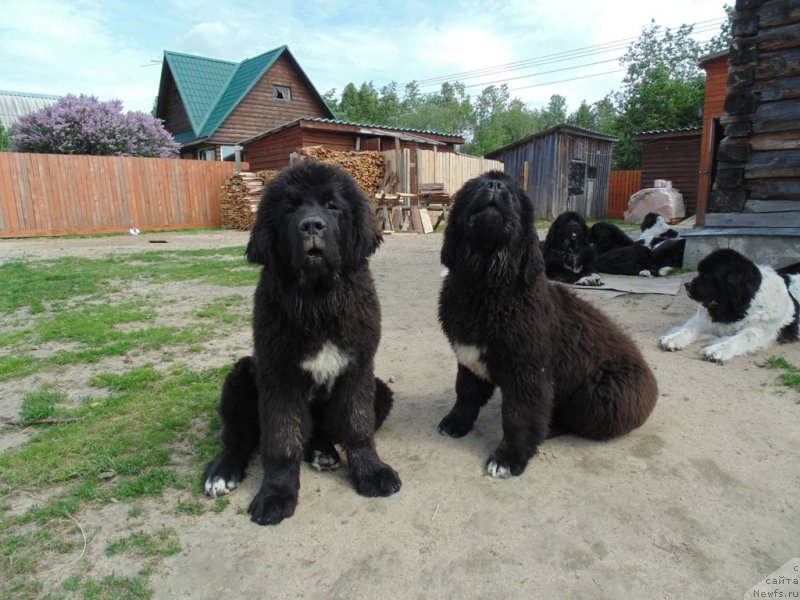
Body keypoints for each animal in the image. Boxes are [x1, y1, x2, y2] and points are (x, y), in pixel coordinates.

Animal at [202, 159, 398, 524]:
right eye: (290, 209)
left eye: (333, 206)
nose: (311, 226)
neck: (318, 302)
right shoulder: (279, 376)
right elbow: (282, 439)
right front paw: (276, 494)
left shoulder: (358, 369)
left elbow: (357, 425)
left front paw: (371, 472)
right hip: (241, 376)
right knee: (238, 436)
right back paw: (221, 473)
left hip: (381, 390)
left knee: (319, 431)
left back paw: (322, 450)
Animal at [438, 172, 656, 478]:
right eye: (475, 187)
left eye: (514, 195)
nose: (494, 185)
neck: (487, 285)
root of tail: (651, 380)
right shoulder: (468, 357)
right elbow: (466, 394)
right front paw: (455, 423)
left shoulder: (529, 372)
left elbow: (518, 416)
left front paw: (509, 458)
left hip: (601, 394)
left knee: (578, 418)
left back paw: (550, 428)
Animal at [660, 247, 796, 364]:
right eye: (699, 272)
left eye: (708, 275)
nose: (687, 285)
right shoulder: (704, 321)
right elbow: (688, 329)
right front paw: (672, 339)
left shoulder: (757, 331)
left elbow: (739, 339)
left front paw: (717, 350)